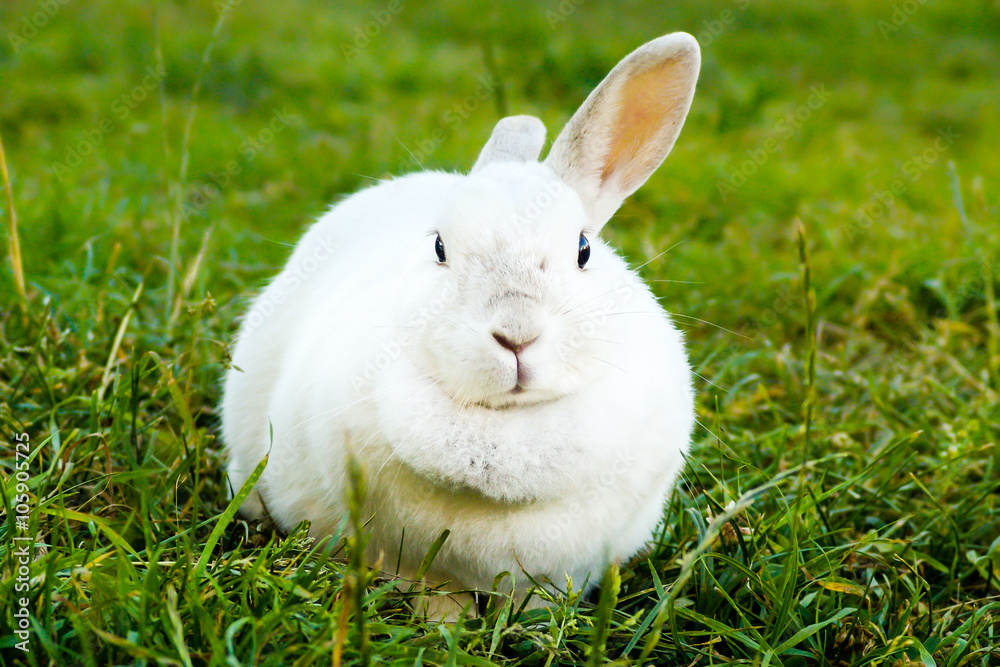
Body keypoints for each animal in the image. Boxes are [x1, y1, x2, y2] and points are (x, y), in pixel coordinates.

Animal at [223, 32, 700, 620]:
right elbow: (430, 592)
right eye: (439, 248)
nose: (516, 334)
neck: (505, 430)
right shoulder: (403, 559)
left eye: (585, 249)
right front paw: (447, 623)